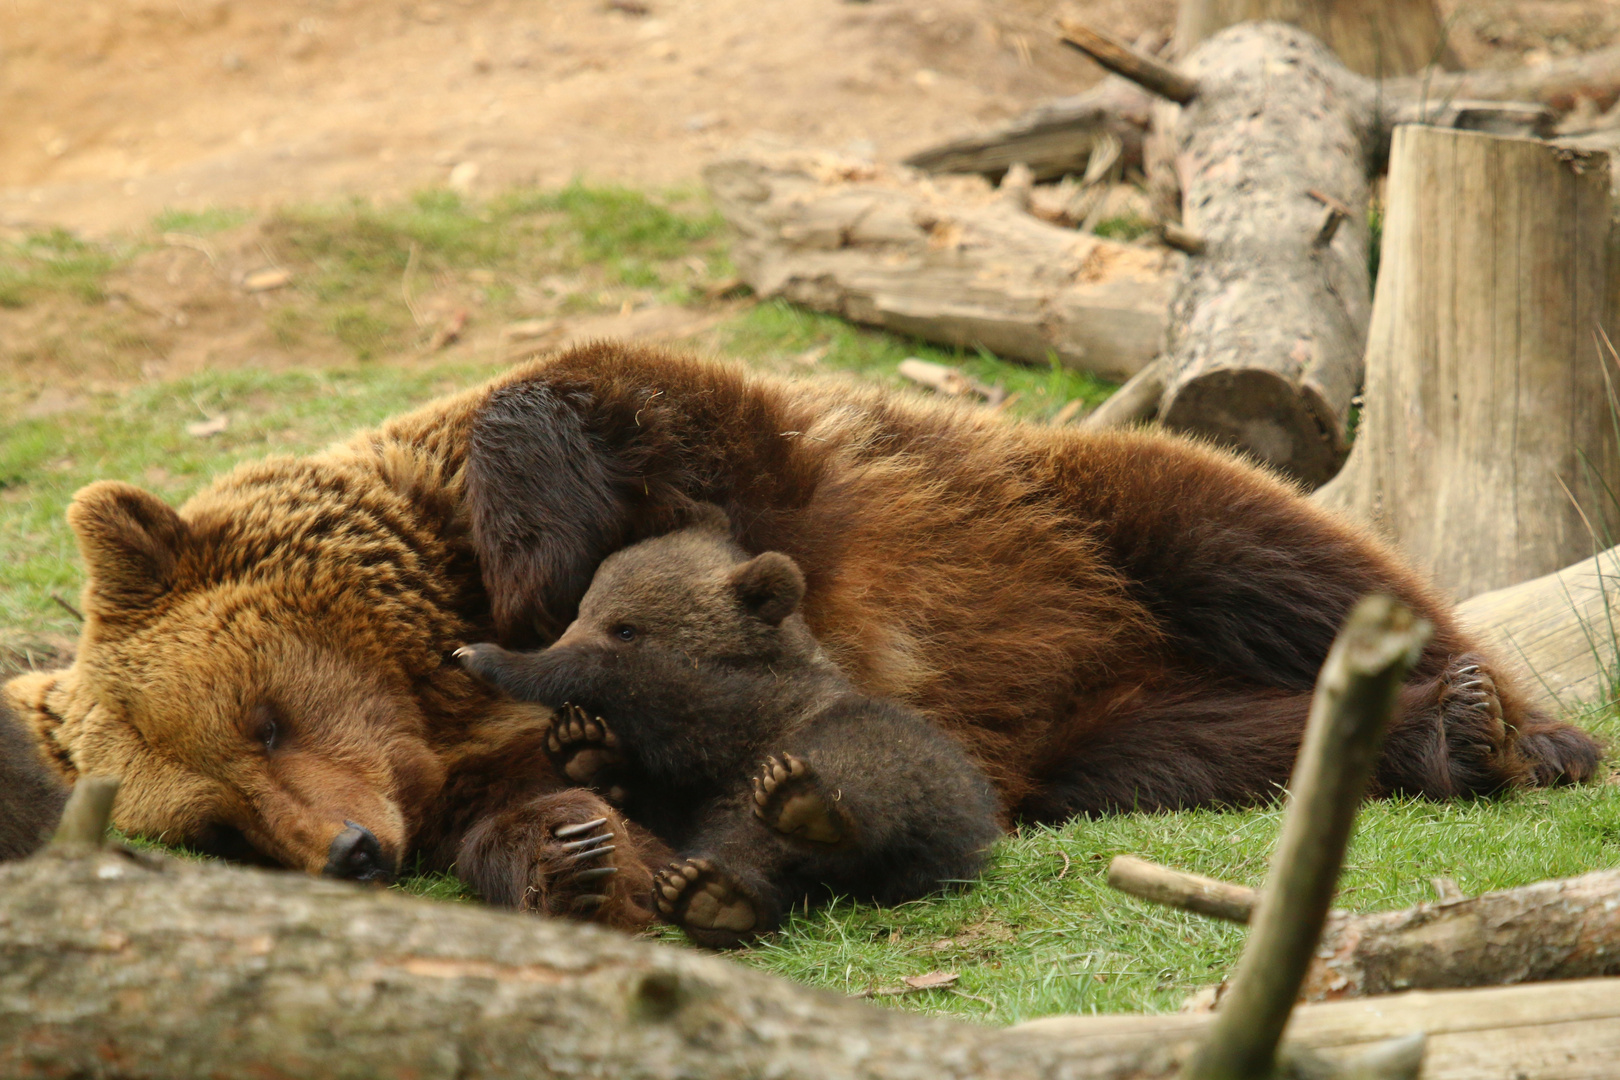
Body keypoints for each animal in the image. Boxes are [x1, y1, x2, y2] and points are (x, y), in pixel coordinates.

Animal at [0, 344, 1594, 932]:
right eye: (218, 822)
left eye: (260, 714)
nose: (348, 851)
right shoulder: (469, 767)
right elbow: (551, 806)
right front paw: (586, 857)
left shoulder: (731, 468)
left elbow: (582, 411)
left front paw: (537, 571)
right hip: (1106, 735)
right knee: (1225, 743)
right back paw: (1427, 738)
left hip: (1079, 524)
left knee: (1266, 553)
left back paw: (1499, 720)